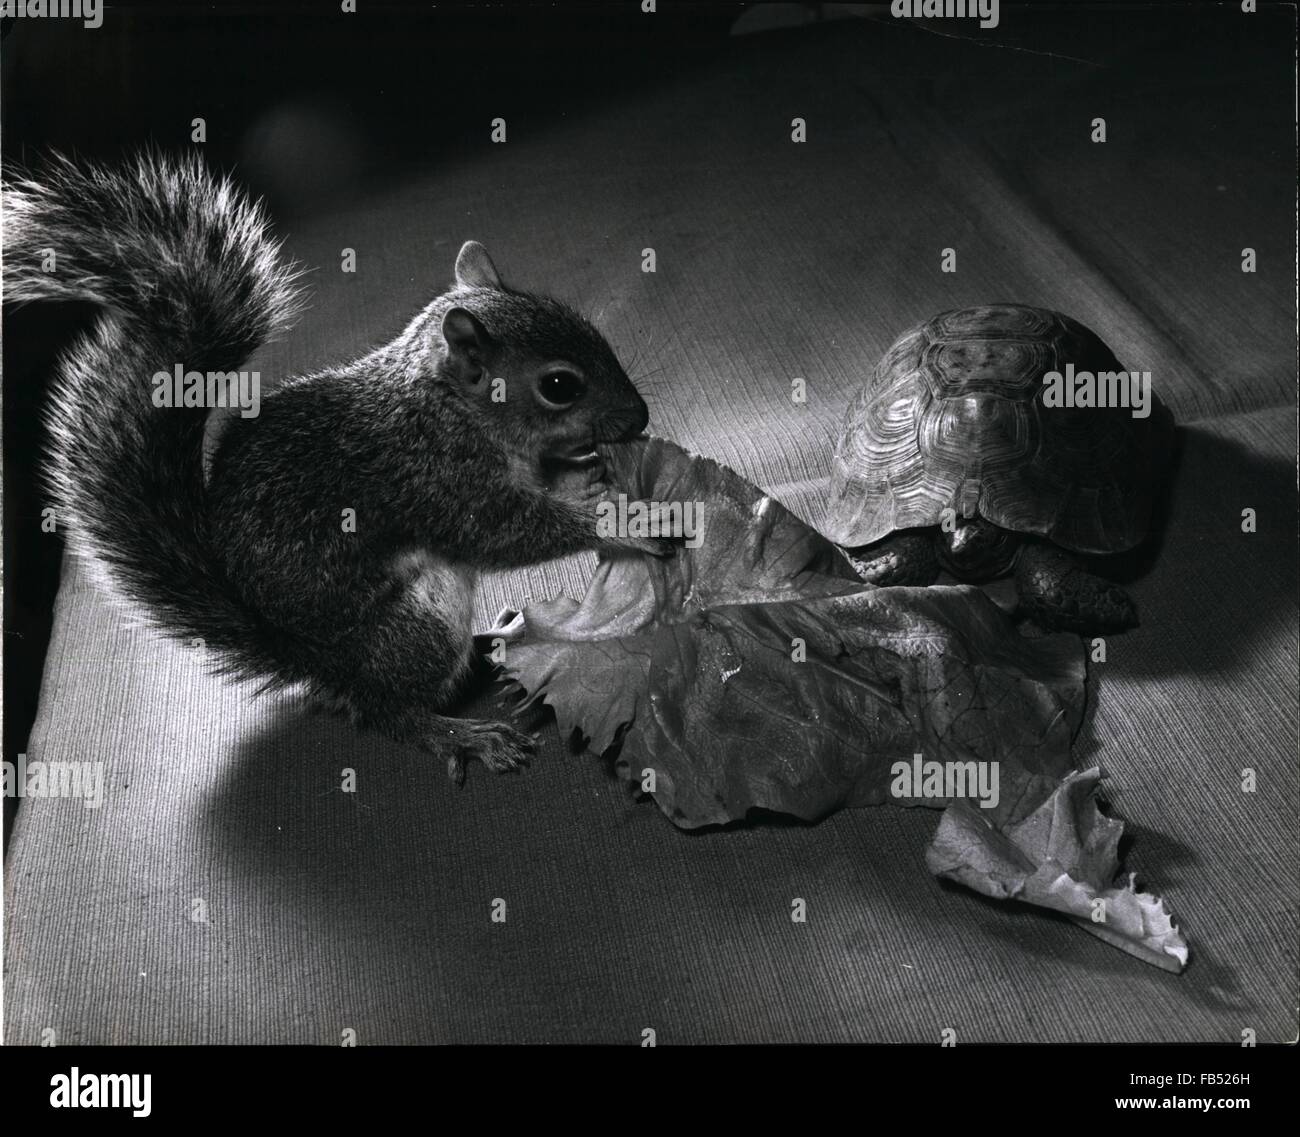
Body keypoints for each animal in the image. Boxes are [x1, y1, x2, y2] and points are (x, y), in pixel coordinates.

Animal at [3, 151, 670, 785]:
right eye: (559, 386)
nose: (638, 416)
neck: (449, 407)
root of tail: (307, 659)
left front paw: (586, 473)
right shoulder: (435, 479)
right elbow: (504, 533)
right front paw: (622, 522)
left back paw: (499, 638)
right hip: (417, 621)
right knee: (386, 711)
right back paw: (461, 735)